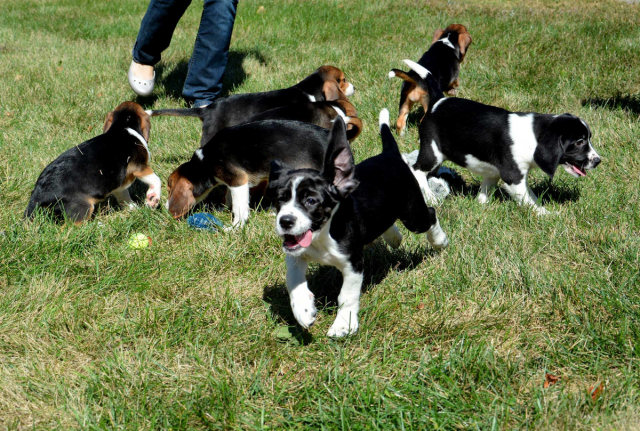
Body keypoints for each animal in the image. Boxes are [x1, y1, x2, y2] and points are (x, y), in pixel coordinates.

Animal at [25, 101, 161, 223]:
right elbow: (156, 179)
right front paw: (152, 199)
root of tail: (37, 194)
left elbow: (124, 196)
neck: (122, 126)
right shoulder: (139, 166)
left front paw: (134, 209)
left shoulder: (118, 183)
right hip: (81, 206)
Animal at [166, 119, 330, 226]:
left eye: (168, 188)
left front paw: (235, 227)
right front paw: (224, 208)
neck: (205, 162)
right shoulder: (232, 182)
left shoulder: (238, 180)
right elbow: (228, 196)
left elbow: (239, 207)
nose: (166, 208)